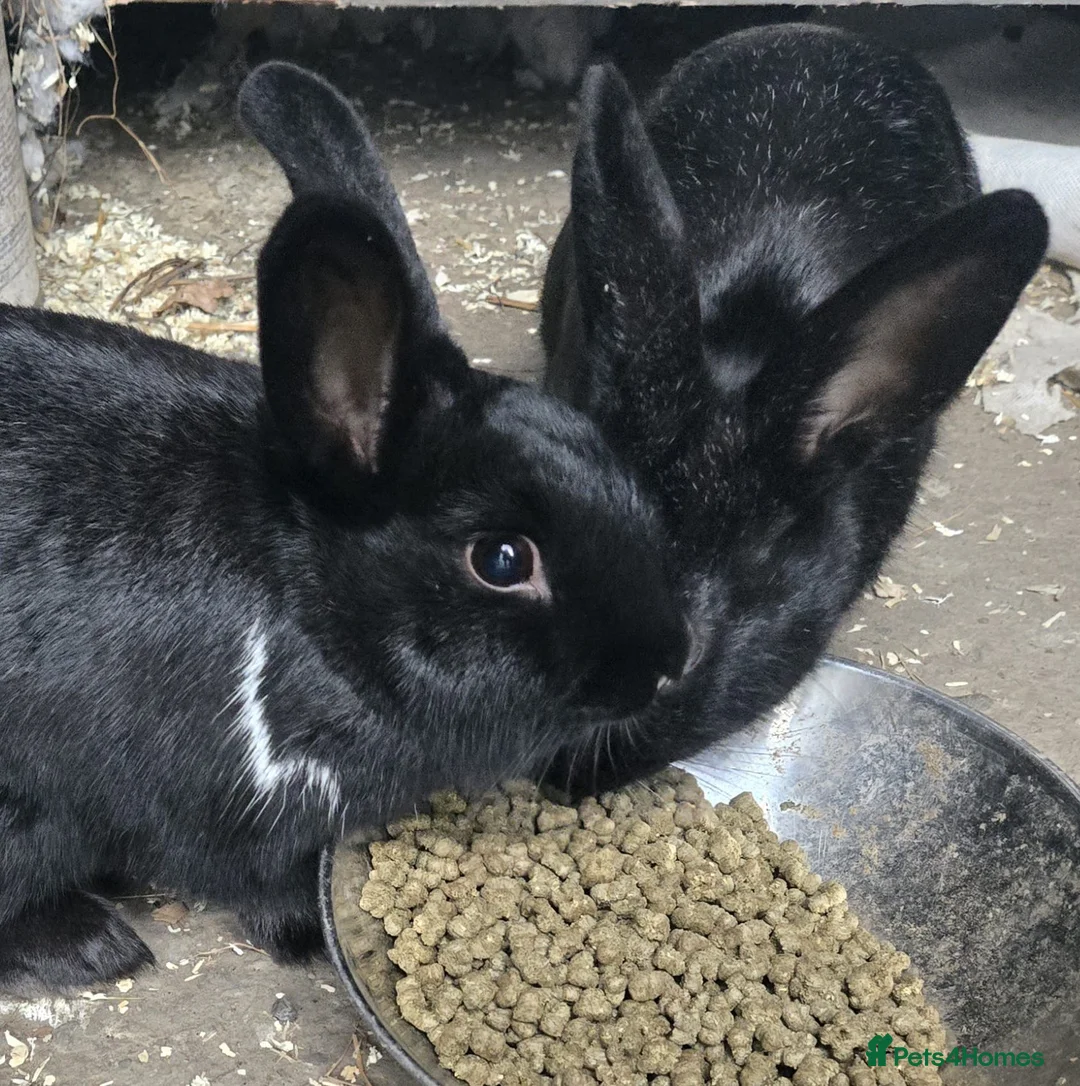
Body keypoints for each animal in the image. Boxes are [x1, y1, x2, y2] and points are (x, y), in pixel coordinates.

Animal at [0, 60, 692, 994]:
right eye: (501, 559)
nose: (666, 662)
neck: (314, 609)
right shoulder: (232, 811)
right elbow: (254, 882)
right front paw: (304, 928)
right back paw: (96, 943)